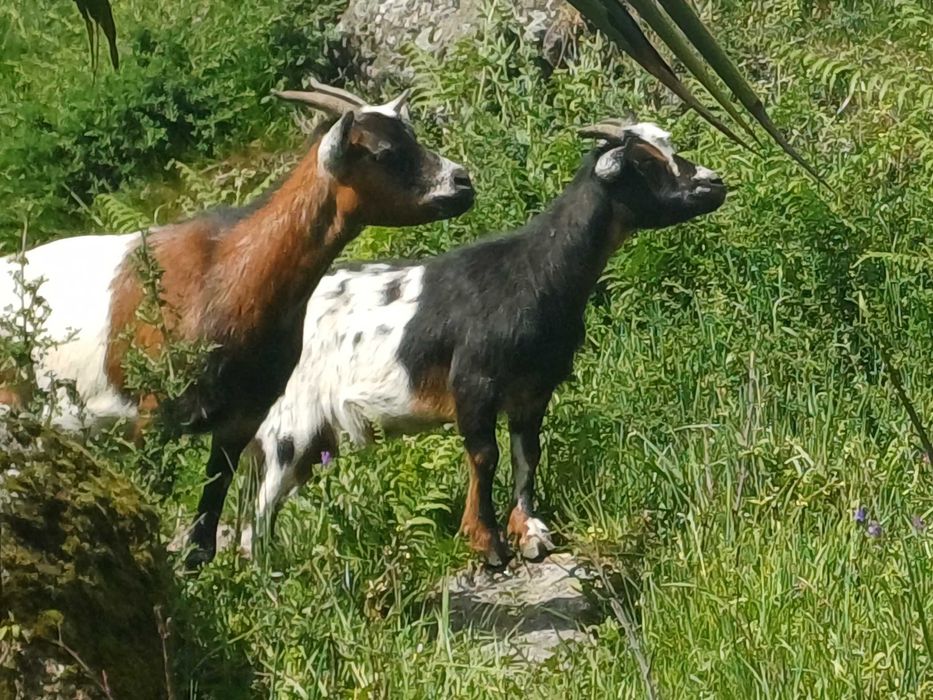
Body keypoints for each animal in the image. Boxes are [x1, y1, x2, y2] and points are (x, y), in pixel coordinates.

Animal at [0, 79, 475, 569]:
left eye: (412, 136)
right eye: (383, 152)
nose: (462, 182)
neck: (226, 273)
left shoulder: (241, 419)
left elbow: (205, 536)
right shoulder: (151, 417)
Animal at [249, 118, 726, 566]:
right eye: (644, 162)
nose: (714, 182)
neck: (533, 272)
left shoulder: (533, 389)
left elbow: (526, 454)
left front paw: (530, 532)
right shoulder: (474, 384)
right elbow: (484, 456)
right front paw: (487, 542)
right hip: (289, 424)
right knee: (261, 506)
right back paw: (261, 570)